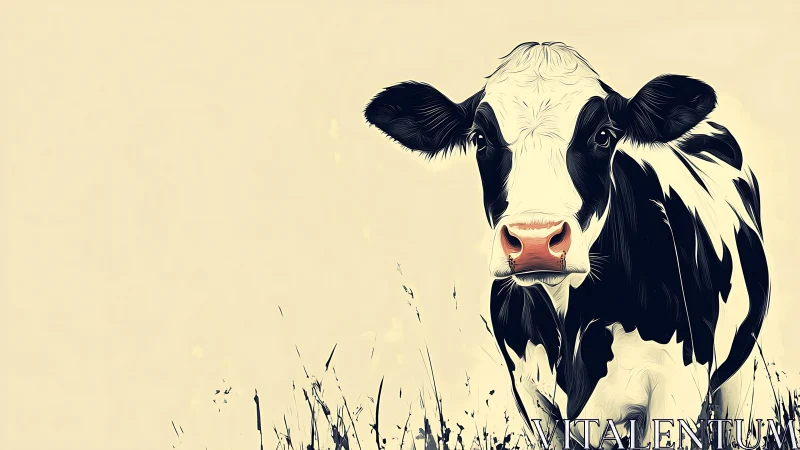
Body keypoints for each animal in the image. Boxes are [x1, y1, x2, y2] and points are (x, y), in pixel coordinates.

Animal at [363, 42, 769, 449]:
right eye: (480, 139)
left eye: (603, 135)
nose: (535, 240)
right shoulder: (531, 397)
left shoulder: (677, 387)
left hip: (740, 366)